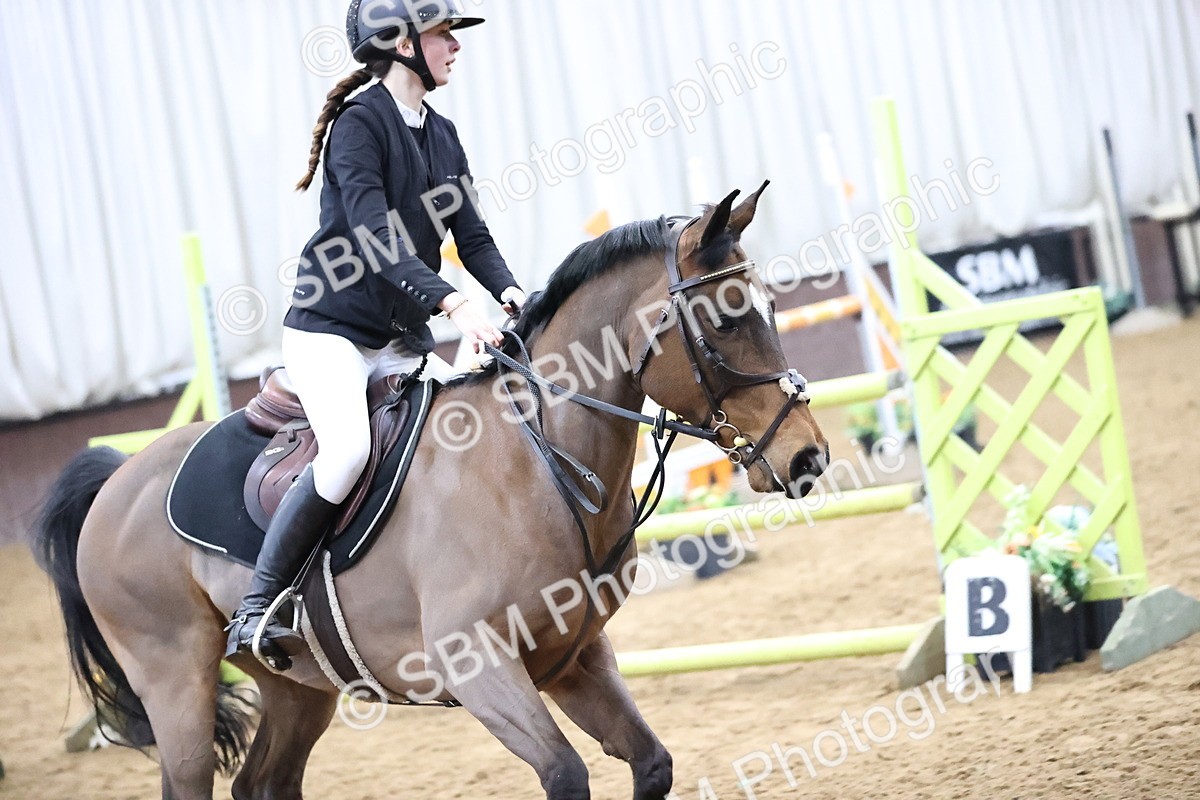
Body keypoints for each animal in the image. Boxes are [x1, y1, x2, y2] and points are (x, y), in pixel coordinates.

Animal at [34, 183, 828, 800]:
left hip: (296, 687)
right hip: (176, 688)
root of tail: (116, 480)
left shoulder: (573, 659)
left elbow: (652, 763)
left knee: (265, 782)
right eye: (726, 319)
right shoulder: (476, 666)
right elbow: (566, 775)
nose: (809, 457)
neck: (537, 466)